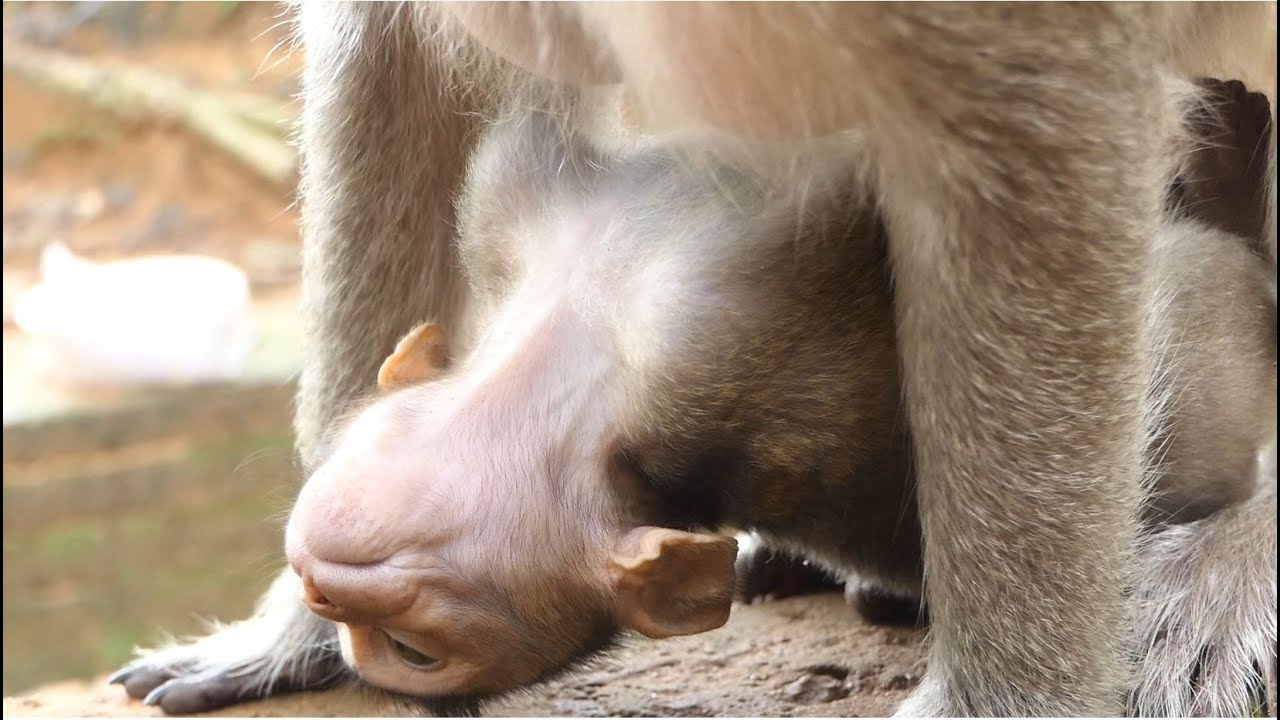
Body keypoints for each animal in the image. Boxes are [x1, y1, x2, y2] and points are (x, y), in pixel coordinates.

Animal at [107, 3, 1278, 717]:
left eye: (416, 647)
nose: (331, 592)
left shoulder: (710, 361)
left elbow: (1035, 129)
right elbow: (399, 54)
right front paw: (287, 635)